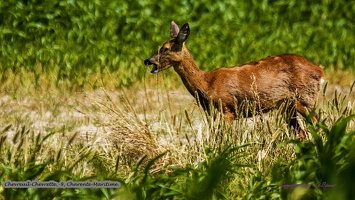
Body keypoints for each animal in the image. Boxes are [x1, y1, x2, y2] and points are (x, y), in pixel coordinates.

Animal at [145, 20, 326, 139]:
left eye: (165, 49)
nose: (147, 60)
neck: (206, 83)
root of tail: (320, 70)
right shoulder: (214, 113)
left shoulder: (227, 109)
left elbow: (226, 139)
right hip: (287, 106)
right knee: (302, 132)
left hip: (305, 99)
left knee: (320, 125)